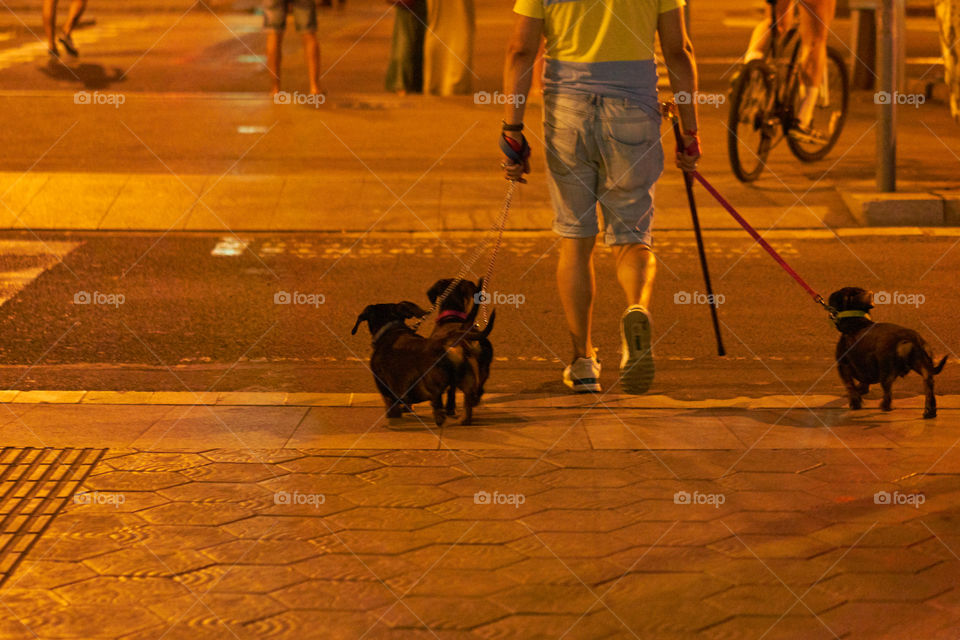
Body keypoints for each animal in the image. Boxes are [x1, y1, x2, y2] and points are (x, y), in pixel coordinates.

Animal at [352, 300, 480, 424]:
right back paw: (463, 419)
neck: (390, 330)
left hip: (433, 386)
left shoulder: (388, 394)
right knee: (466, 403)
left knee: (438, 405)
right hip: (467, 382)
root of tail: (446, 343)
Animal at [426, 276, 496, 420]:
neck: (451, 317)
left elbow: (450, 390)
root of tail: (463, 332)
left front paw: (449, 408)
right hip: (484, 367)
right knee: (479, 388)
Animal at [828, 286, 948, 418]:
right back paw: (930, 411)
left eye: (837, 295)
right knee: (928, 383)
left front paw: (855, 403)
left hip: (886, 370)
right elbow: (862, 383)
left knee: (888, 391)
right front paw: (861, 391)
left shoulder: (843, 365)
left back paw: (885, 406)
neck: (858, 322)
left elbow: (850, 386)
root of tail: (910, 338)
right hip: (922, 363)